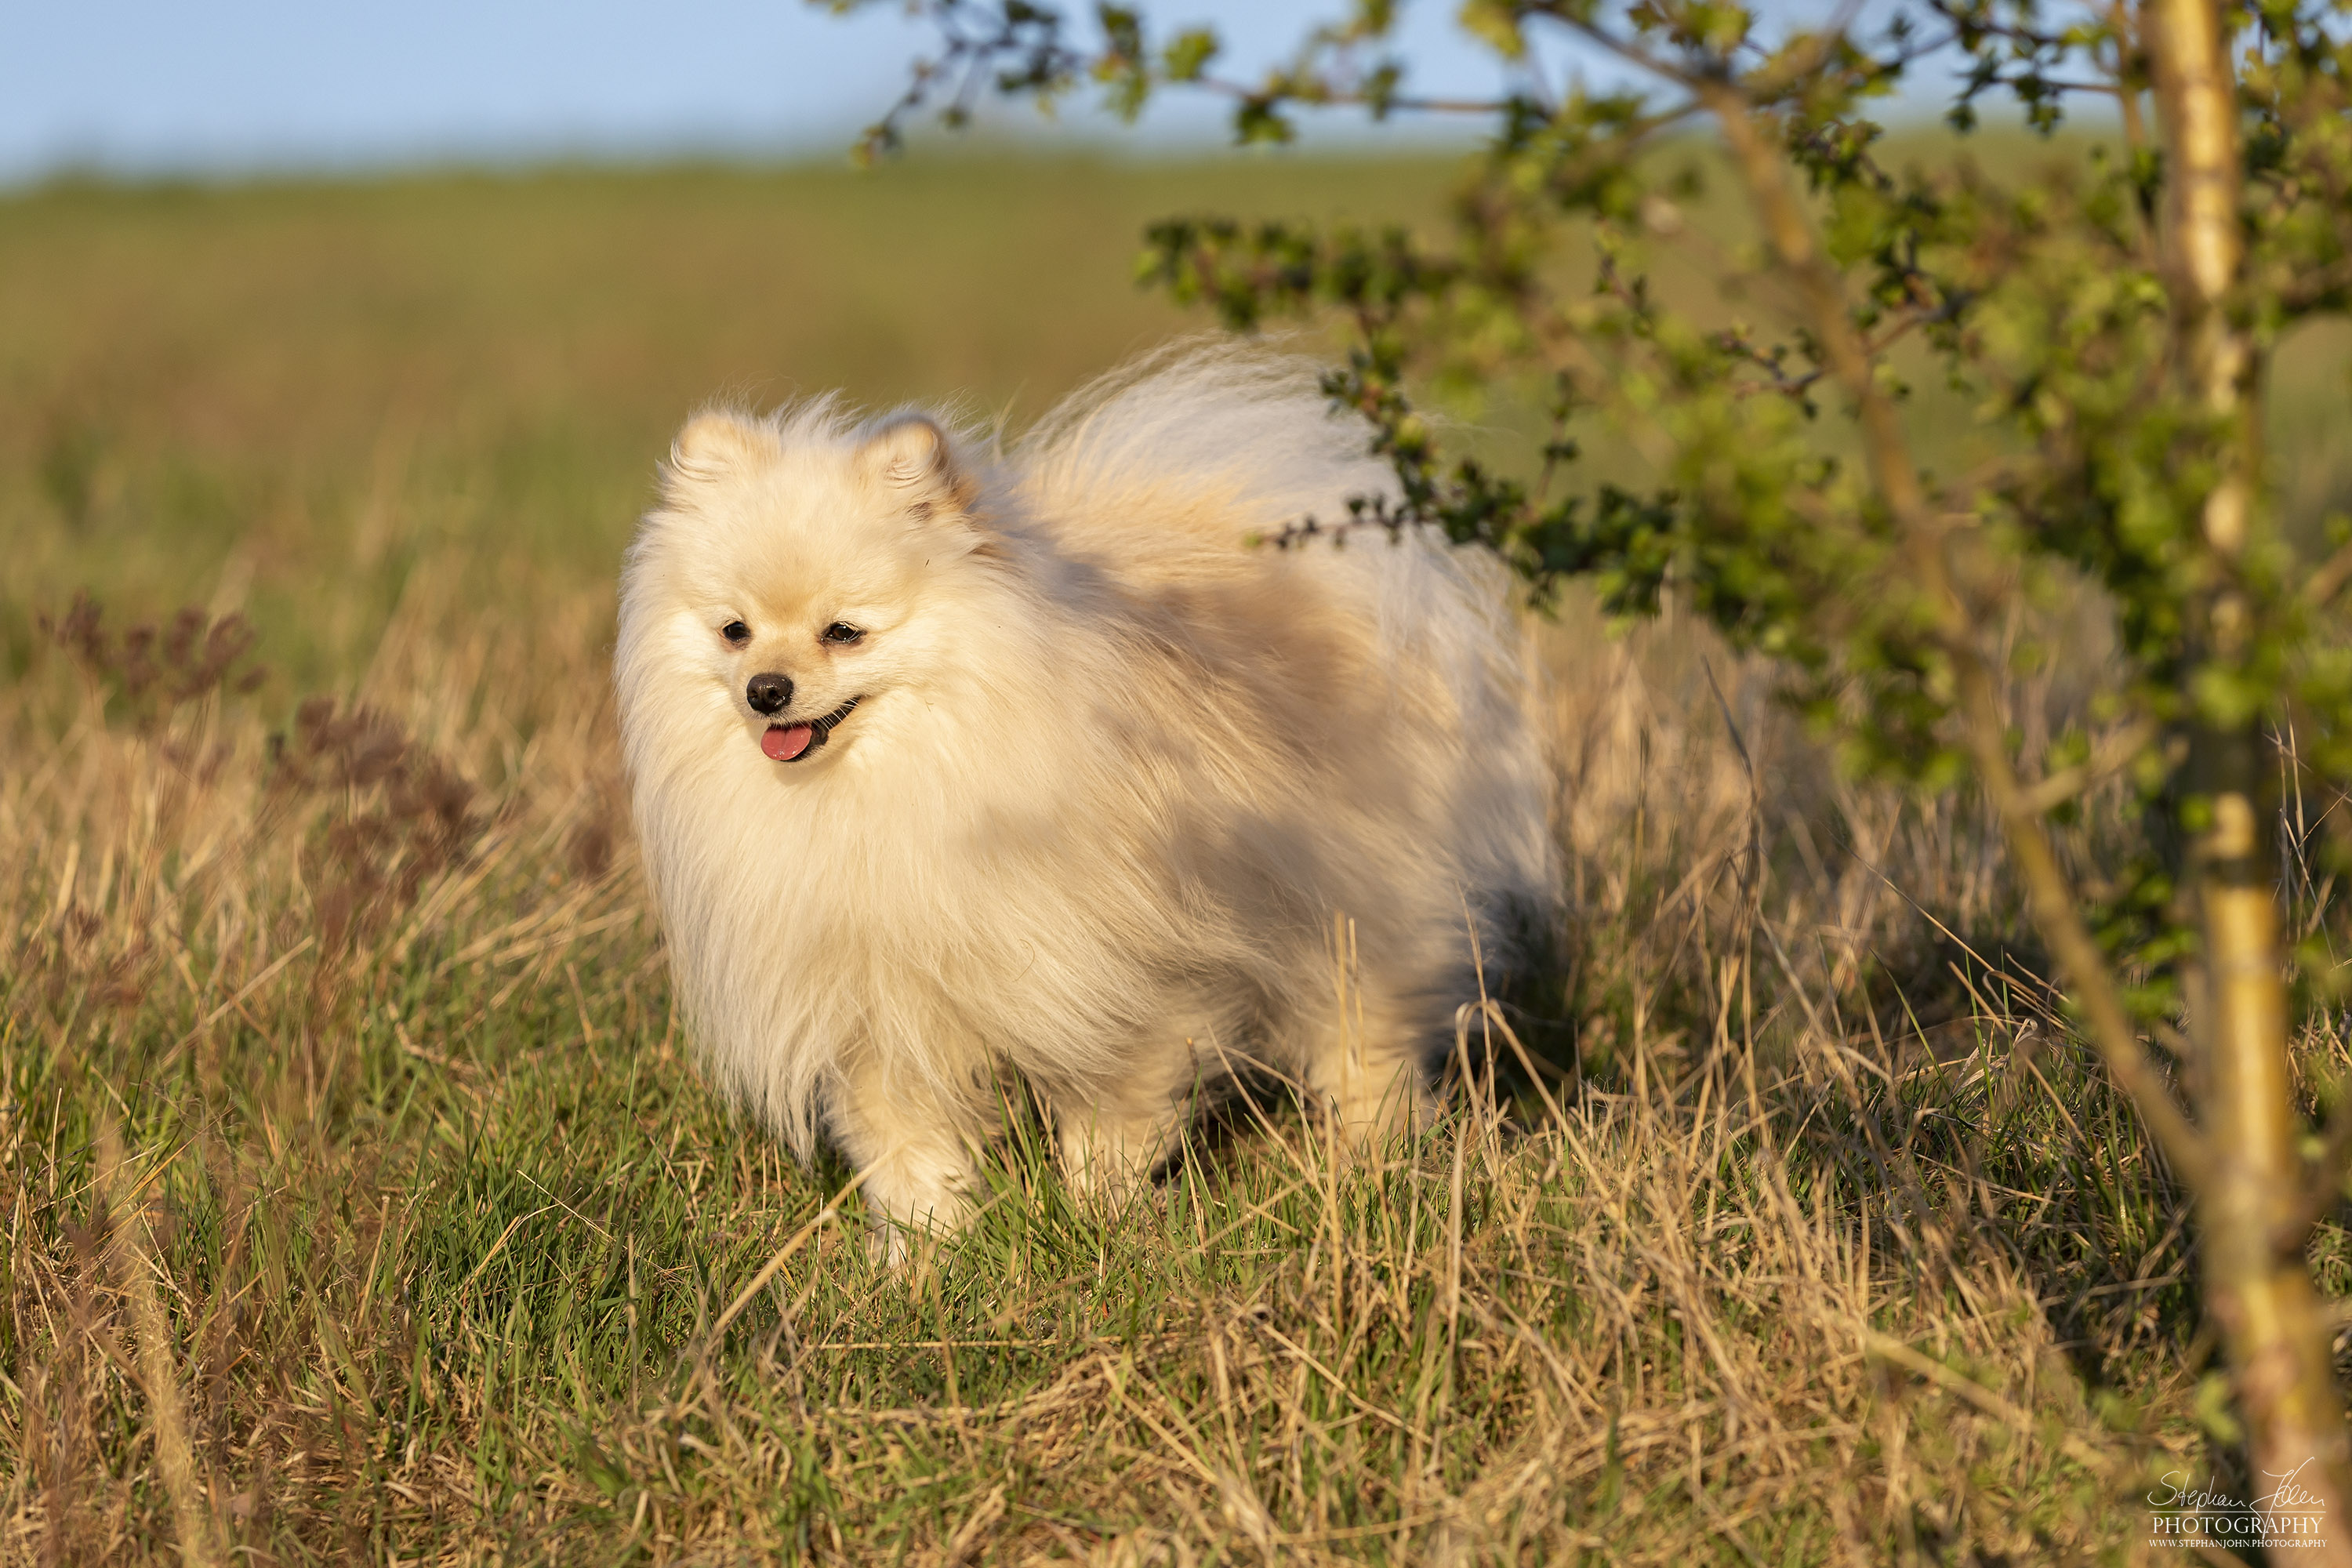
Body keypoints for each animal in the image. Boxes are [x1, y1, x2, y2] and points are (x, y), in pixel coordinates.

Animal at [616, 345, 1552, 1250]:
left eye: (844, 632)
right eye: (733, 630)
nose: (766, 689)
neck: (894, 783)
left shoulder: (1129, 978)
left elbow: (1114, 1116)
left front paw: (1102, 1221)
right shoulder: (875, 1003)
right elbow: (907, 1146)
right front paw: (927, 1252)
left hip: (1357, 903)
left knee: (1367, 1035)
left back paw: (1375, 1157)